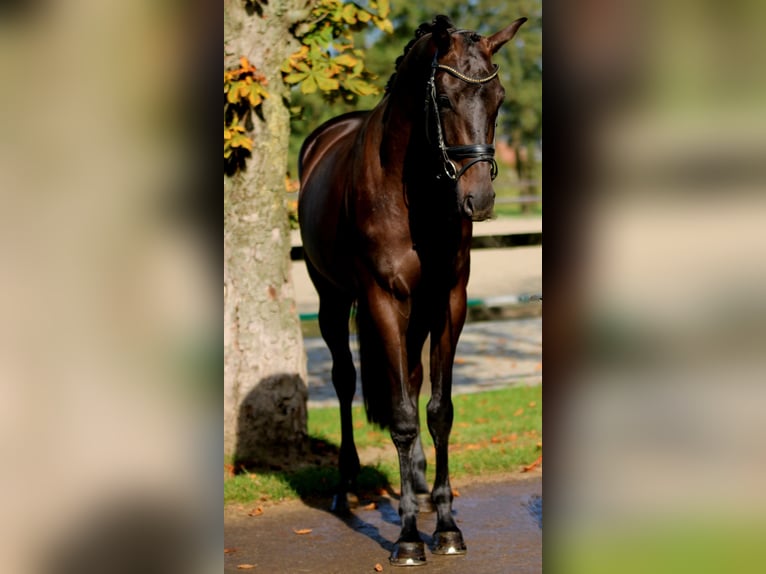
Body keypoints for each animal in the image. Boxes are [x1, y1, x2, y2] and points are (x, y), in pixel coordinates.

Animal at [300, 15, 528, 568]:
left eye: (499, 99)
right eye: (442, 98)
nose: (479, 200)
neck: (411, 192)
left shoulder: (448, 302)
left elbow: (438, 411)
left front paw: (445, 526)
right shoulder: (382, 300)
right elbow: (402, 416)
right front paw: (406, 539)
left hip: (417, 312)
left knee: (413, 376)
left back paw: (421, 489)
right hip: (332, 300)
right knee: (345, 380)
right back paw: (345, 485)